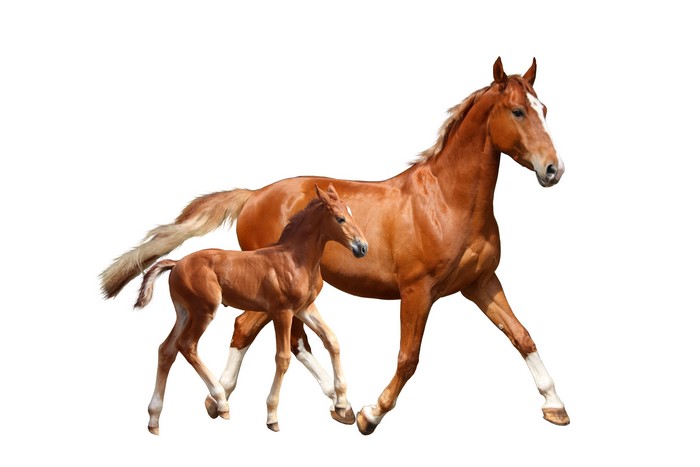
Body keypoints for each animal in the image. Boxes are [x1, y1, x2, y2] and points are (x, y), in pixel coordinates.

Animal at [132, 184, 368, 434]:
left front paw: (341, 404)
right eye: (340, 218)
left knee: (166, 350)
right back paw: (221, 402)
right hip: (204, 311)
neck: (295, 259)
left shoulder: (305, 309)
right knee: (187, 346)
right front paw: (272, 416)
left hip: (184, 313)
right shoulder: (282, 312)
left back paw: (154, 418)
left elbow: (331, 340)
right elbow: (283, 357)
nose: (362, 247)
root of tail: (176, 263)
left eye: (352, 213)